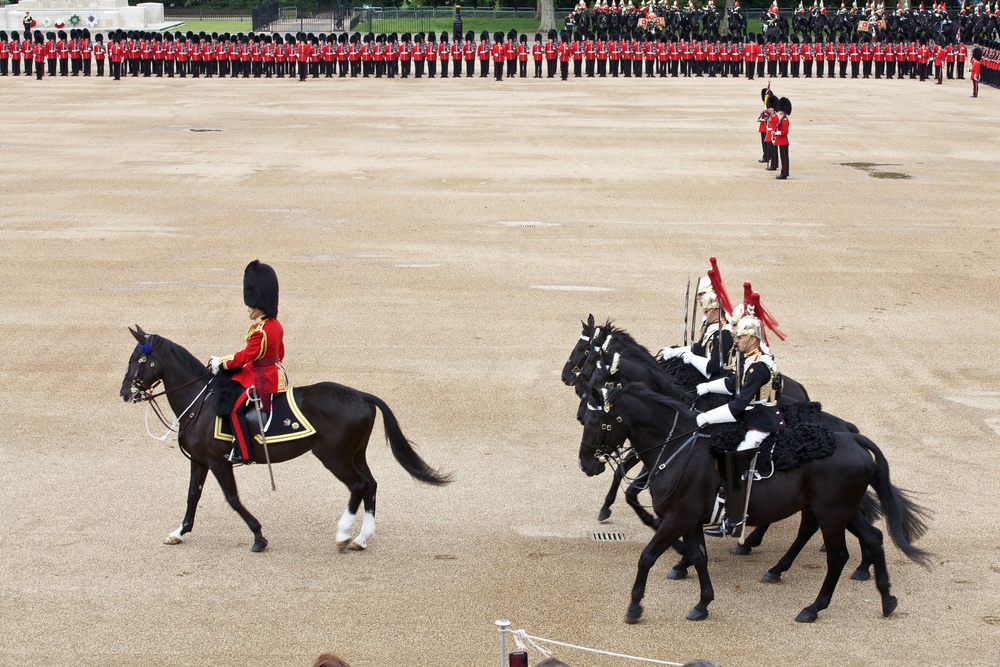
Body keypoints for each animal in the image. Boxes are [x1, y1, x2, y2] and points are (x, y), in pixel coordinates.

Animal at [119, 328, 452, 552]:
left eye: (138, 359)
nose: (124, 392)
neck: (200, 402)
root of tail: (360, 395)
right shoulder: (201, 461)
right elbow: (192, 495)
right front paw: (179, 531)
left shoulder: (218, 461)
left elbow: (232, 498)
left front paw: (258, 536)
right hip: (354, 454)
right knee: (370, 484)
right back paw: (360, 538)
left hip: (333, 457)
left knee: (359, 485)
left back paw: (343, 534)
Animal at [580, 384, 928, 624]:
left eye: (598, 421)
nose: (586, 464)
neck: (677, 448)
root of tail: (850, 436)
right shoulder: (689, 520)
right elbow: (700, 557)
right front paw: (703, 603)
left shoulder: (678, 518)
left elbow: (647, 557)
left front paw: (635, 606)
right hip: (842, 511)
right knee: (873, 537)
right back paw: (886, 598)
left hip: (832, 514)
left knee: (837, 555)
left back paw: (813, 607)